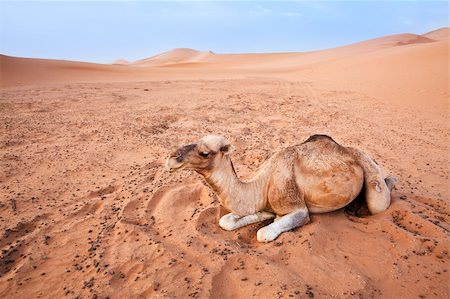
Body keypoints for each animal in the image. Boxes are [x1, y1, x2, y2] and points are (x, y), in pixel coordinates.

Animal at [166, 135, 398, 243]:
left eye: (204, 153)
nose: (171, 158)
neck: (263, 182)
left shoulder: (298, 209)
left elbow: (263, 233)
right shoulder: (265, 203)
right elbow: (227, 220)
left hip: (370, 171)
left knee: (379, 200)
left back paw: (390, 180)